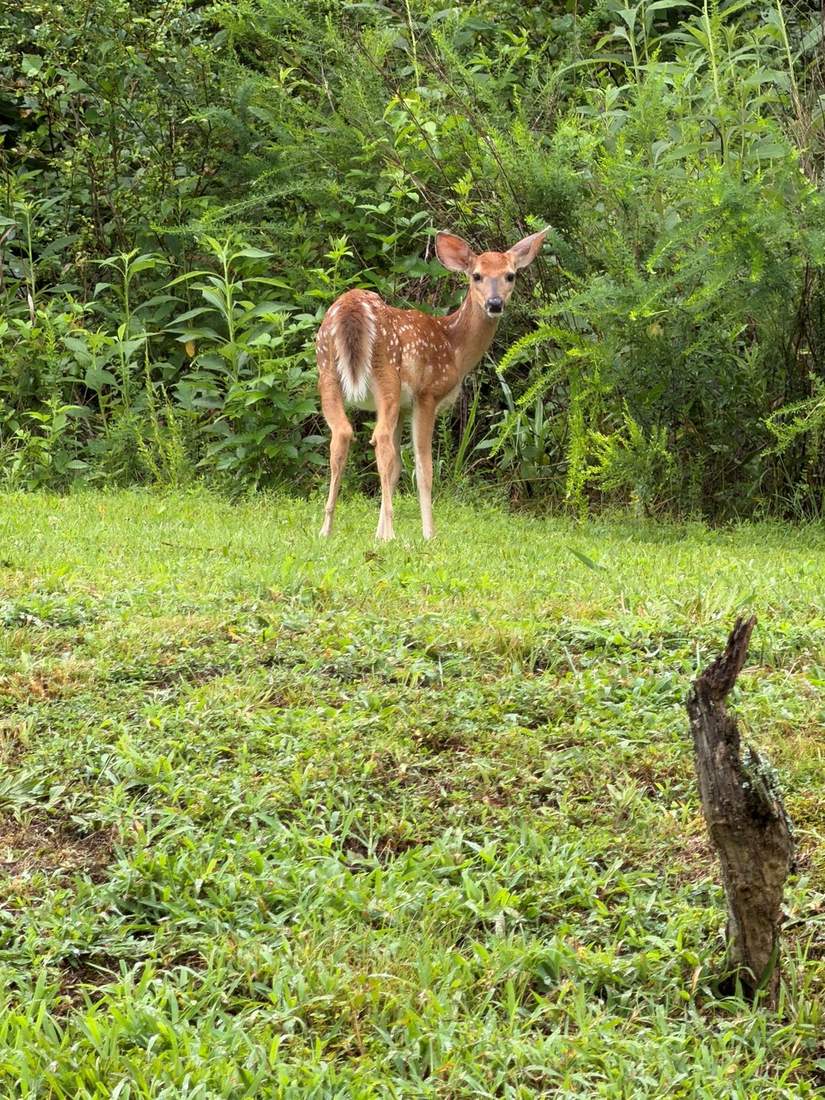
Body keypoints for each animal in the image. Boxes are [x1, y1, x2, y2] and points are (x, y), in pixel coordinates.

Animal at [315, 227, 547, 540]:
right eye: (476, 275)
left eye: (510, 275)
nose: (494, 304)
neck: (454, 347)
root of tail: (349, 308)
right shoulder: (427, 394)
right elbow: (423, 467)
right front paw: (426, 532)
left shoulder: (403, 406)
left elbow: (397, 468)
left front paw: (378, 532)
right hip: (386, 373)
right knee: (381, 440)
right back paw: (390, 533)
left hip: (326, 371)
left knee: (342, 434)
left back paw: (326, 529)